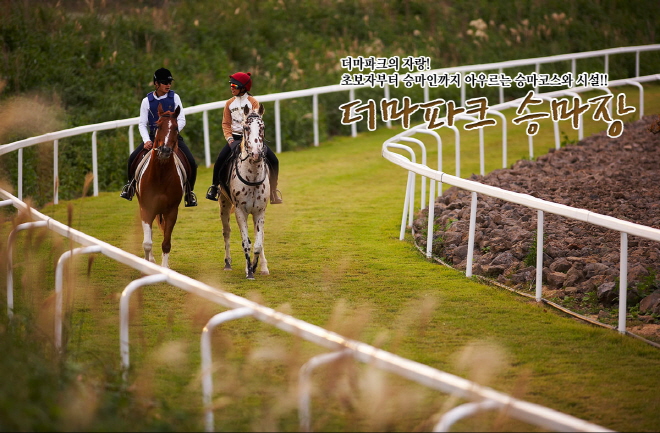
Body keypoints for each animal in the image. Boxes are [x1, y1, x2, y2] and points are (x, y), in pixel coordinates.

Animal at [133, 103, 187, 268]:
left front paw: (165, 268)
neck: (161, 176)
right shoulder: (146, 208)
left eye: (175, 127)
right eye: (158, 125)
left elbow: (166, 243)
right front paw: (147, 264)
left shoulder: (172, 211)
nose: (164, 150)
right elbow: (147, 243)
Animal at [220, 104, 270, 280]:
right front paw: (249, 271)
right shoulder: (240, 211)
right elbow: (246, 242)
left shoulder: (260, 212)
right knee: (226, 232)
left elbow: (258, 243)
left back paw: (263, 267)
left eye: (262, 127)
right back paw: (227, 264)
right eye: (246, 127)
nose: (255, 153)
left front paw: (255, 267)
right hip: (224, 205)